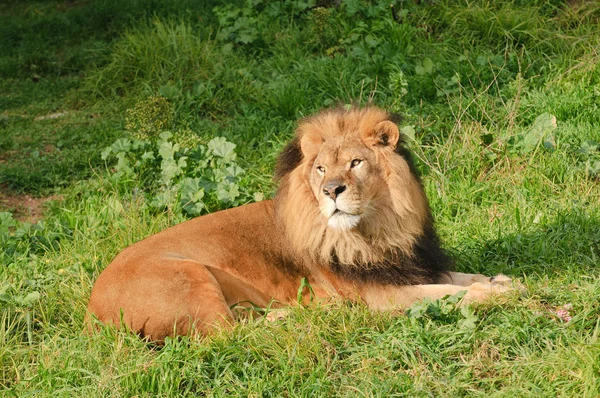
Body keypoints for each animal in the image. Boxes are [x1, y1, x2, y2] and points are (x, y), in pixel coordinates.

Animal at [86, 106, 512, 342]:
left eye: (356, 162)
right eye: (321, 168)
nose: (331, 190)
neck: (380, 228)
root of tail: (92, 310)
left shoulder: (410, 265)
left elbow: (461, 277)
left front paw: (502, 281)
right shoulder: (380, 296)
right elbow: (445, 294)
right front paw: (496, 295)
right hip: (190, 275)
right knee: (226, 336)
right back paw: (299, 316)